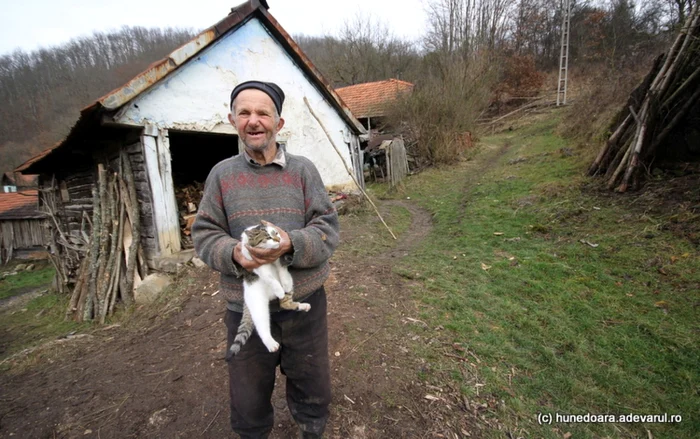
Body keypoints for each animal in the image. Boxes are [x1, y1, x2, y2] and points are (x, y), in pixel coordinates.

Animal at [226, 223, 310, 360]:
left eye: (276, 233)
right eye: (268, 237)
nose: (279, 240)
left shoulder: (279, 258)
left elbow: (282, 270)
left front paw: (285, 284)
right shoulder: (255, 264)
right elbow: (270, 278)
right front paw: (279, 289)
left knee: (285, 303)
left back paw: (302, 305)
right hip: (258, 305)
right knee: (261, 326)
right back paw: (270, 343)